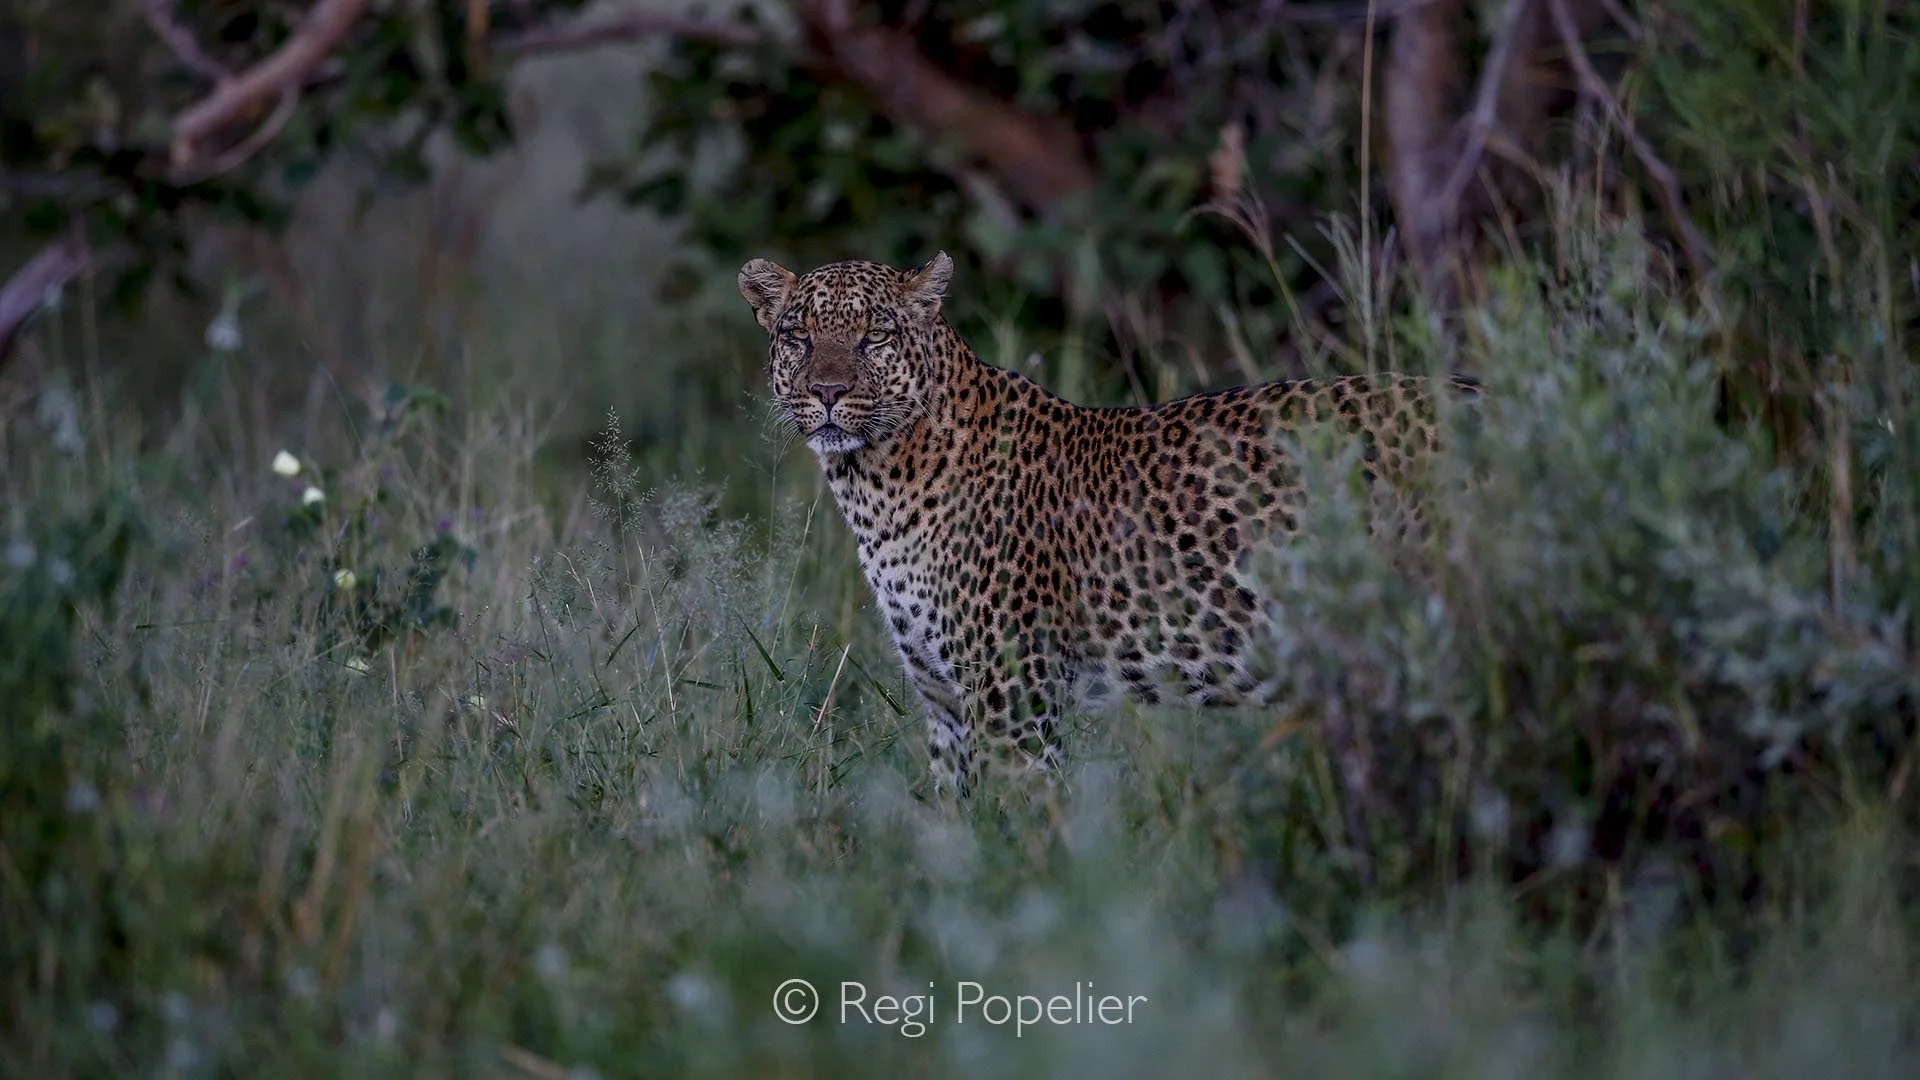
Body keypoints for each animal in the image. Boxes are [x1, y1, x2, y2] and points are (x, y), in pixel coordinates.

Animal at [738, 251, 1475, 797]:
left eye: (876, 335)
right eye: (798, 335)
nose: (827, 391)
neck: (875, 487)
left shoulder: (1013, 700)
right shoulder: (944, 705)